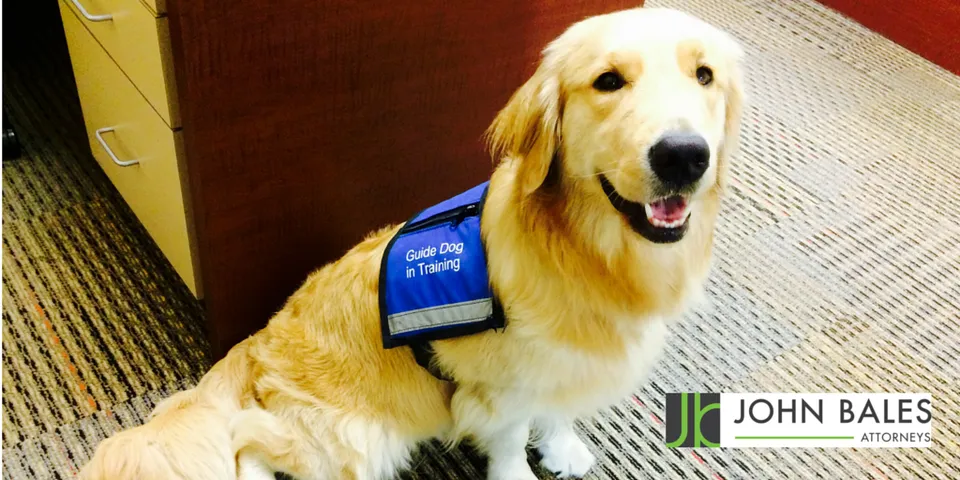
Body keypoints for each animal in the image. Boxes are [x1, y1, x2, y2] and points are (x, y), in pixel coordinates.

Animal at [80, 6, 744, 480]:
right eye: (607, 81)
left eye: (704, 75)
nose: (684, 156)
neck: (591, 255)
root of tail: (256, 343)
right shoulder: (498, 389)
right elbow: (510, 444)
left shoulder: (568, 365)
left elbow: (555, 414)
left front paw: (563, 449)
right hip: (362, 438)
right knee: (248, 441)